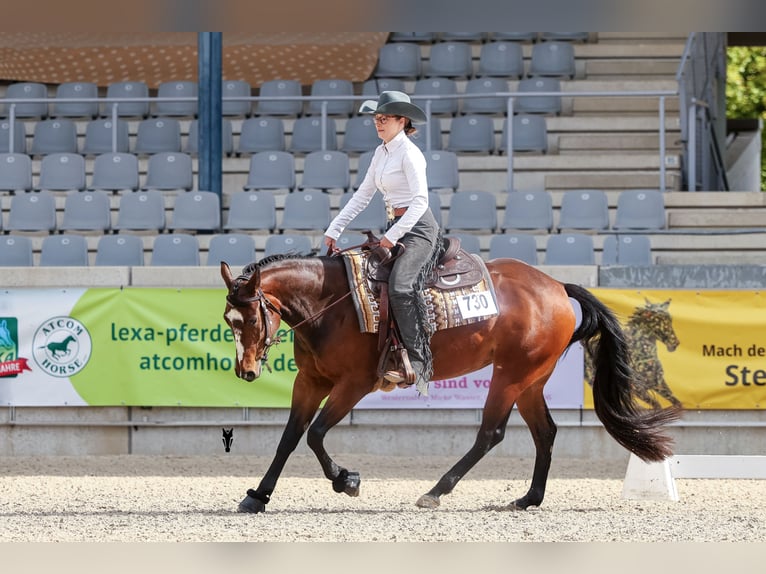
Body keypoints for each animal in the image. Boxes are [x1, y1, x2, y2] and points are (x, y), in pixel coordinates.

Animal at [221, 254, 681, 513]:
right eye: (228, 321)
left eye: (252, 319)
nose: (247, 371)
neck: (334, 304)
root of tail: (555, 286)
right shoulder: (311, 381)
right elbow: (290, 438)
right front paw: (258, 496)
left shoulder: (355, 383)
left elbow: (315, 434)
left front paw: (346, 480)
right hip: (531, 381)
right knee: (545, 433)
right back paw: (529, 499)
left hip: (510, 376)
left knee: (490, 433)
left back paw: (436, 491)